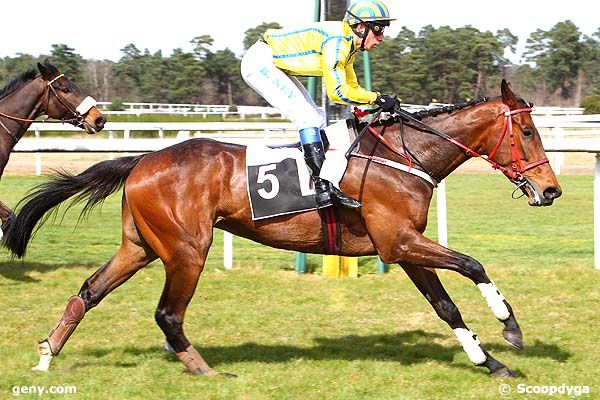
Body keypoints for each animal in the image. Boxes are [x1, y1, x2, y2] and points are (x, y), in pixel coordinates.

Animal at [2, 80, 560, 378]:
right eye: (527, 130)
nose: (551, 190)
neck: (404, 157)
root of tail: (142, 159)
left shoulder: (401, 248)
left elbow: (446, 306)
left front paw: (490, 361)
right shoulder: (400, 242)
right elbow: (473, 264)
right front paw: (509, 327)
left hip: (139, 246)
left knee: (90, 290)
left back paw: (48, 353)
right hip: (187, 249)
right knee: (167, 314)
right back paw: (205, 370)